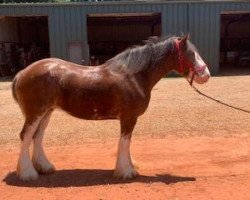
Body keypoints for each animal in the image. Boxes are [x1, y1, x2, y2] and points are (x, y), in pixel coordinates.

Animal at [12, 34, 211, 181]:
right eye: (190, 54)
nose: (206, 75)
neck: (134, 76)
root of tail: (23, 73)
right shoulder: (129, 117)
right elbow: (124, 141)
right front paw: (126, 172)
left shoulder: (130, 118)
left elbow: (127, 142)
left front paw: (131, 167)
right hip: (35, 113)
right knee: (26, 136)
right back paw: (28, 174)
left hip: (46, 112)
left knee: (37, 137)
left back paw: (44, 167)